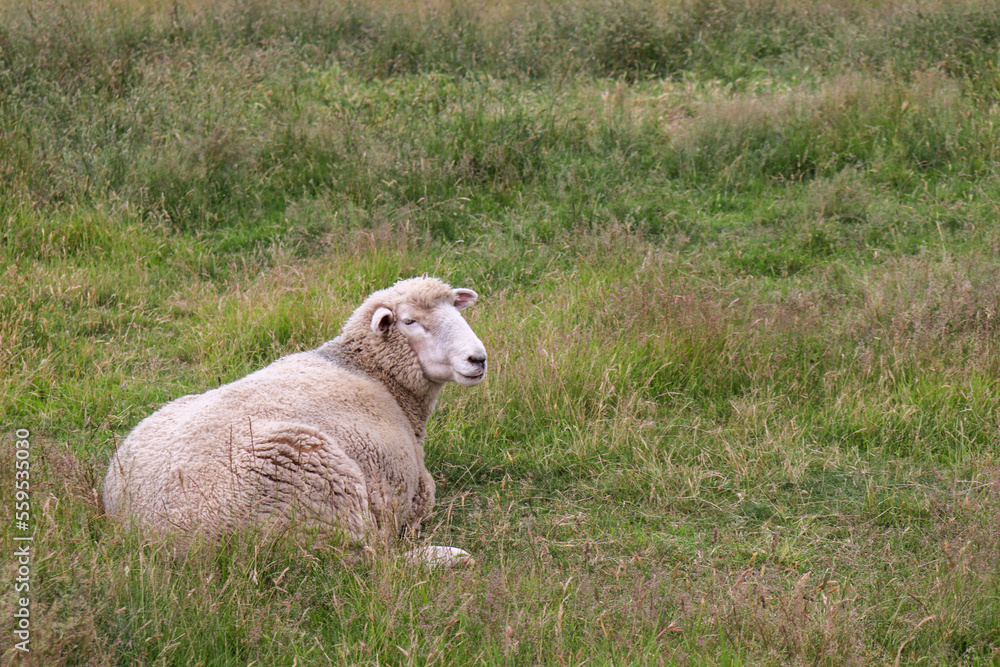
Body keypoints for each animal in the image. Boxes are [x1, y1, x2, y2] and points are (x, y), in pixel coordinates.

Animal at [102, 276, 488, 564]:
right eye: (411, 322)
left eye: (456, 310)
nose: (478, 358)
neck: (371, 371)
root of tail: (145, 534)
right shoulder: (417, 493)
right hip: (314, 498)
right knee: (365, 562)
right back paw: (448, 557)